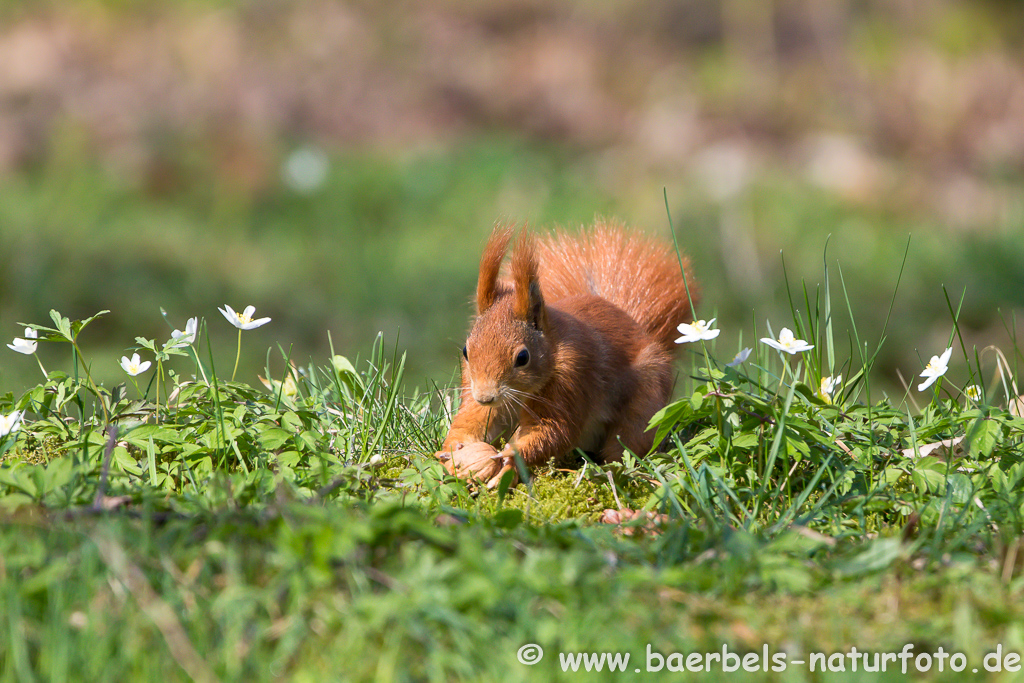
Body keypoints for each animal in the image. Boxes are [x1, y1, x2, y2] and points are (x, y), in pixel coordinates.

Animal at [432, 219, 696, 485]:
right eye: (466, 351)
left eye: (523, 357)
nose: (485, 397)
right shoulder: (477, 390)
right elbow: (472, 420)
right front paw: (453, 450)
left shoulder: (572, 376)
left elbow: (556, 431)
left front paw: (510, 456)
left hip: (645, 404)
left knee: (627, 443)